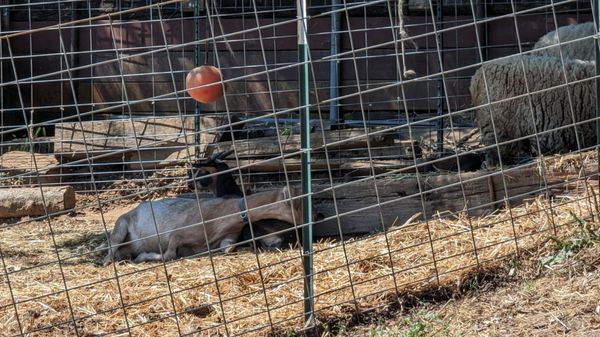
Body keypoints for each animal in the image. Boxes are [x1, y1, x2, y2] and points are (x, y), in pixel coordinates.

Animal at [102, 185, 304, 264]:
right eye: (299, 204)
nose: (316, 216)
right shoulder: (178, 233)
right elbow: (169, 254)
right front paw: (144, 257)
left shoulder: (227, 236)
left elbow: (227, 248)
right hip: (122, 224)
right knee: (112, 247)